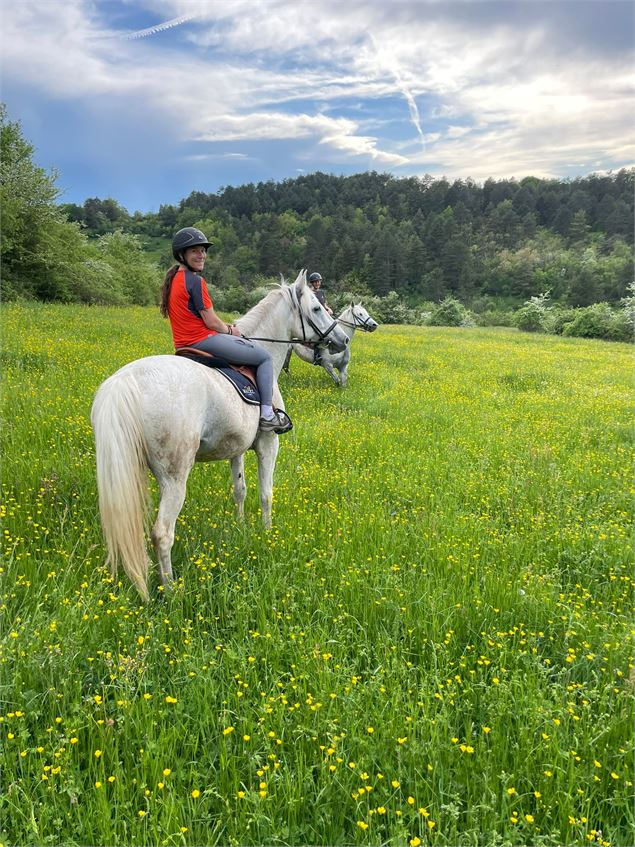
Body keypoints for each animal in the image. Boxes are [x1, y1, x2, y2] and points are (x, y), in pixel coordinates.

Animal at [91, 274, 346, 600]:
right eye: (316, 307)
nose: (342, 339)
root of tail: (124, 381)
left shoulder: (236, 449)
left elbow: (240, 490)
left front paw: (240, 528)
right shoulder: (268, 445)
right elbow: (266, 494)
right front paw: (267, 534)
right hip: (175, 477)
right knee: (162, 533)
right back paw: (171, 591)